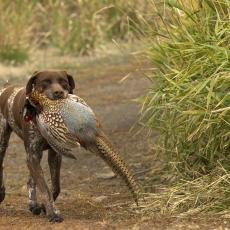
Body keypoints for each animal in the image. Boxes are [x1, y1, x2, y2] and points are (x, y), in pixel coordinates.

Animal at [0, 69, 75, 221]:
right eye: (45, 82)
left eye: (63, 82)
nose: (58, 92)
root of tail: (5, 87)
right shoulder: (32, 155)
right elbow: (45, 188)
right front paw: (53, 213)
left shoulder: (53, 155)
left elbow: (55, 187)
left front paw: (44, 207)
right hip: (2, 142)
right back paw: (1, 192)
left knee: (31, 180)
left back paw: (33, 204)